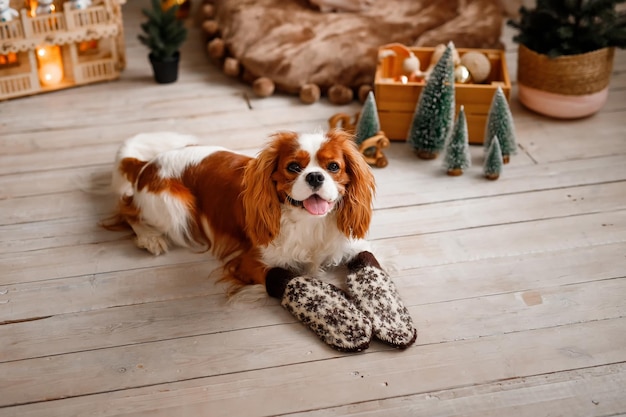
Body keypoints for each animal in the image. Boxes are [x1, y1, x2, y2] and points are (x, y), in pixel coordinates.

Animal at [105, 128, 376, 294]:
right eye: (293, 167)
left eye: (333, 167)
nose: (315, 176)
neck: (309, 222)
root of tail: (147, 164)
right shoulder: (251, 263)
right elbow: (287, 275)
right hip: (175, 207)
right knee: (126, 209)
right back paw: (150, 238)